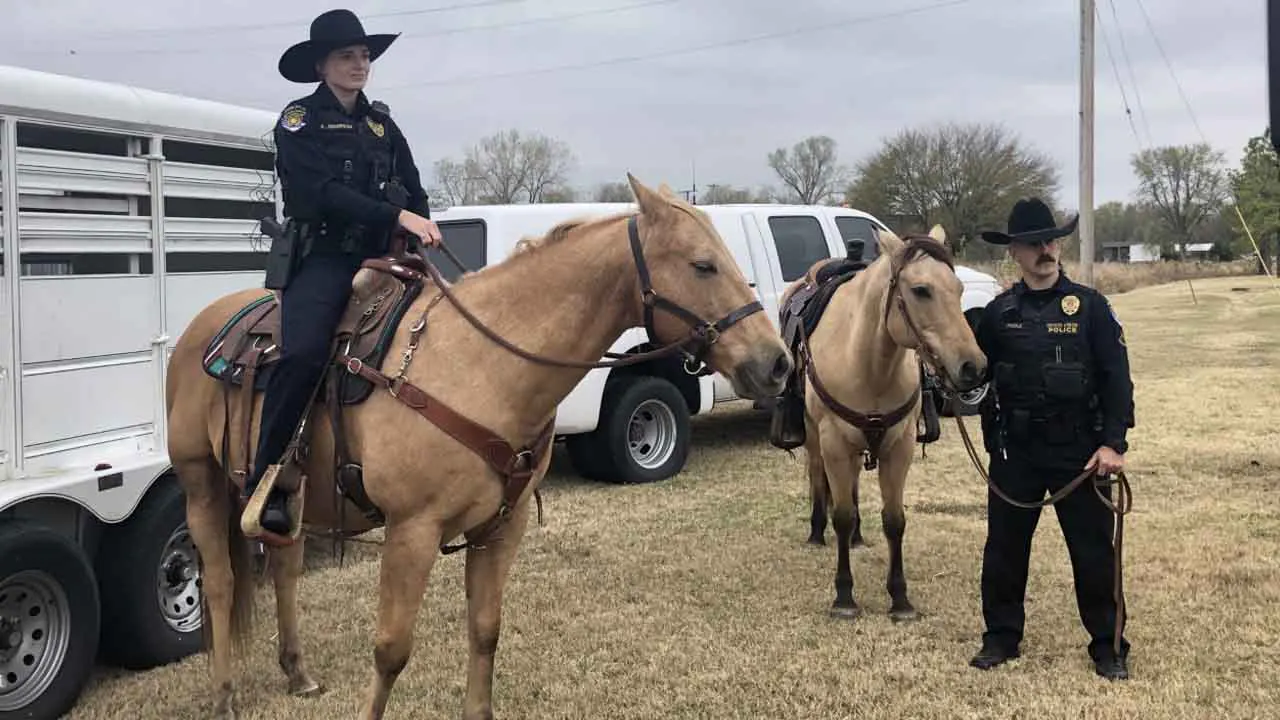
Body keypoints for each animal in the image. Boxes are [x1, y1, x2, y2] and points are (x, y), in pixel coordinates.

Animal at [165, 175, 793, 717]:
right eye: (703, 264)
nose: (777, 362)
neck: (482, 364)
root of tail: (205, 327)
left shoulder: (500, 527)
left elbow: (485, 631)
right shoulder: (412, 532)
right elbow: (391, 649)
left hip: (289, 499)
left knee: (286, 567)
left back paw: (297, 673)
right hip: (200, 485)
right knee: (219, 581)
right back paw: (223, 694)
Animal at [768, 222, 988, 617]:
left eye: (959, 288)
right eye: (920, 290)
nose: (973, 367)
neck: (869, 364)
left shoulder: (899, 447)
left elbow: (894, 520)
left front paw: (900, 598)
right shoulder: (834, 443)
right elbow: (840, 514)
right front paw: (844, 596)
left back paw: (857, 536)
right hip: (815, 437)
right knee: (818, 476)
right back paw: (816, 531)